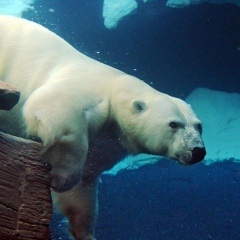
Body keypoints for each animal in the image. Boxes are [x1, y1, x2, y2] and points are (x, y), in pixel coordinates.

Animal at [0, 15, 206, 240]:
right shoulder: (89, 87)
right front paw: (63, 177)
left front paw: (85, 232)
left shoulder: (108, 143)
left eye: (199, 126)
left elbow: (85, 184)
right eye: (173, 124)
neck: (116, 88)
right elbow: (53, 104)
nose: (197, 151)